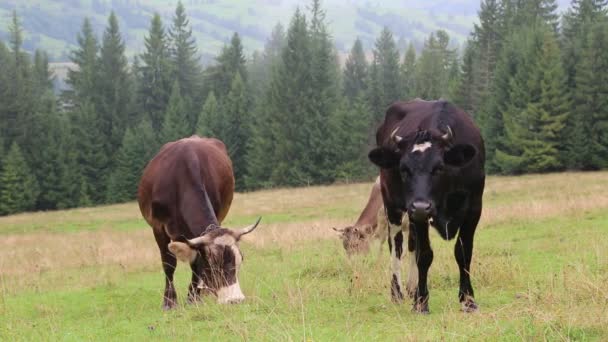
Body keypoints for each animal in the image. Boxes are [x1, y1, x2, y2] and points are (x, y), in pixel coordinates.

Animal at [138, 136, 262, 310]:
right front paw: (169, 302)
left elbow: (196, 264)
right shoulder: (158, 227)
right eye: (214, 264)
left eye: (240, 259)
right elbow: (169, 264)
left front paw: (193, 298)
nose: (235, 300)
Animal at [368, 98, 486, 312]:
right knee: (397, 245)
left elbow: (463, 252)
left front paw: (468, 300)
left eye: (439, 167)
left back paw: (411, 288)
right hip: (392, 205)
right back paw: (397, 292)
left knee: (411, 245)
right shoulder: (415, 214)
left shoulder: (474, 208)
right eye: (403, 169)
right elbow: (424, 255)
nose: (421, 206)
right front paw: (421, 302)